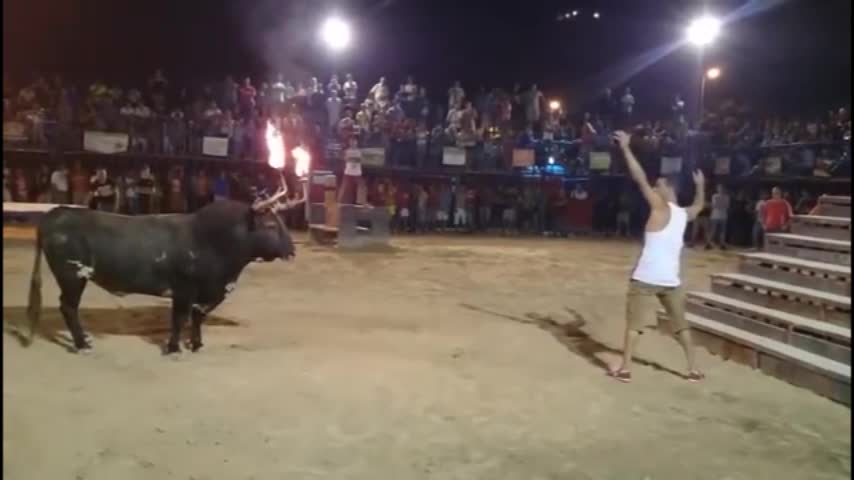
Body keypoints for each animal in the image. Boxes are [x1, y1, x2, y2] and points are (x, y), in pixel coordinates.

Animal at [25, 199, 298, 352]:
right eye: (271, 226)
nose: (292, 250)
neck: (209, 238)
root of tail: (54, 213)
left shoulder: (207, 292)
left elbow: (197, 317)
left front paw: (196, 344)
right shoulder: (184, 289)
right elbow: (179, 319)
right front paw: (174, 348)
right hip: (72, 276)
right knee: (69, 307)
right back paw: (82, 344)